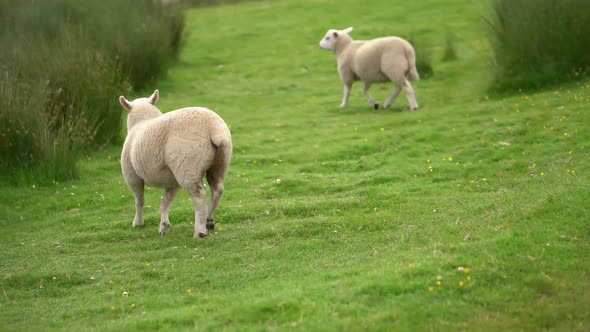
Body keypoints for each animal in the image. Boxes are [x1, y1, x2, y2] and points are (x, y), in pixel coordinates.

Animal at [118, 89, 234, 239]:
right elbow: (165, 201)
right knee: (218, 189)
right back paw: (208, 221)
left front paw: (138, 223)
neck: (142, 121)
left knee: (199, 196)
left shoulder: (132, 176)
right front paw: (164, 226)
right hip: (219, 163)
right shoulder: (172, 180)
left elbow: (139, 200)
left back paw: (200, 231)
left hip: (187, 166)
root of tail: (214, 129)